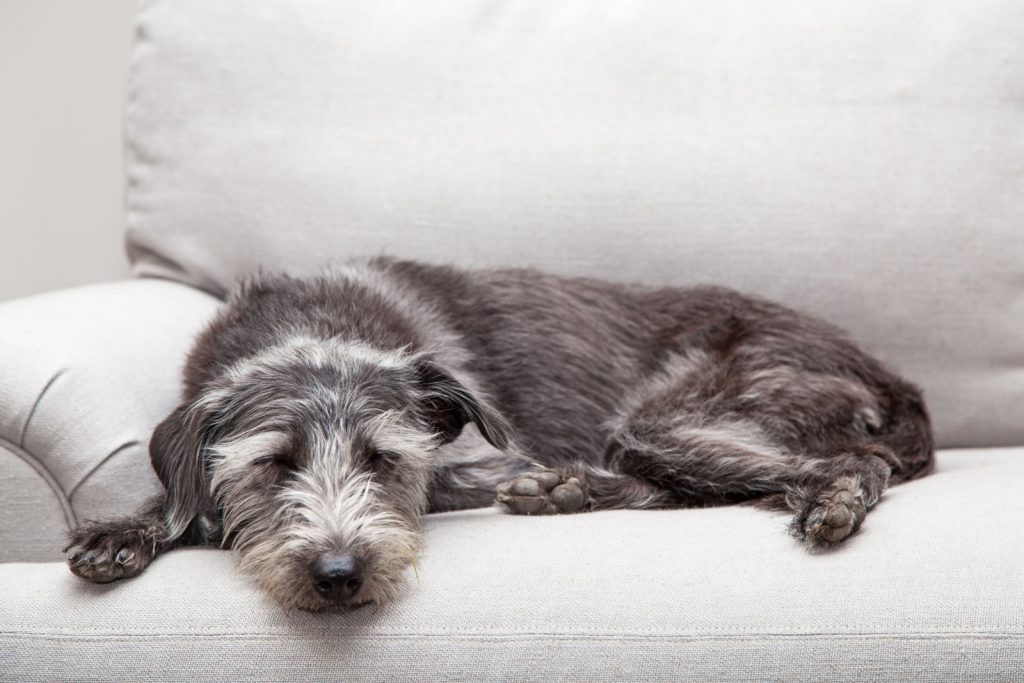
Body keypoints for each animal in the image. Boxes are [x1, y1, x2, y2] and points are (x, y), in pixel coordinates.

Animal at [64, 255, 937, 610]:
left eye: (384, 458)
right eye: (274, 463)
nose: (339, 573)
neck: (311, 325)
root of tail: (888, 373)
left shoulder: (475, 462)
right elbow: (178, 494)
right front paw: (125, 528)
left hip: (672, 414)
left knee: (846, 463)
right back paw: (567, 487)